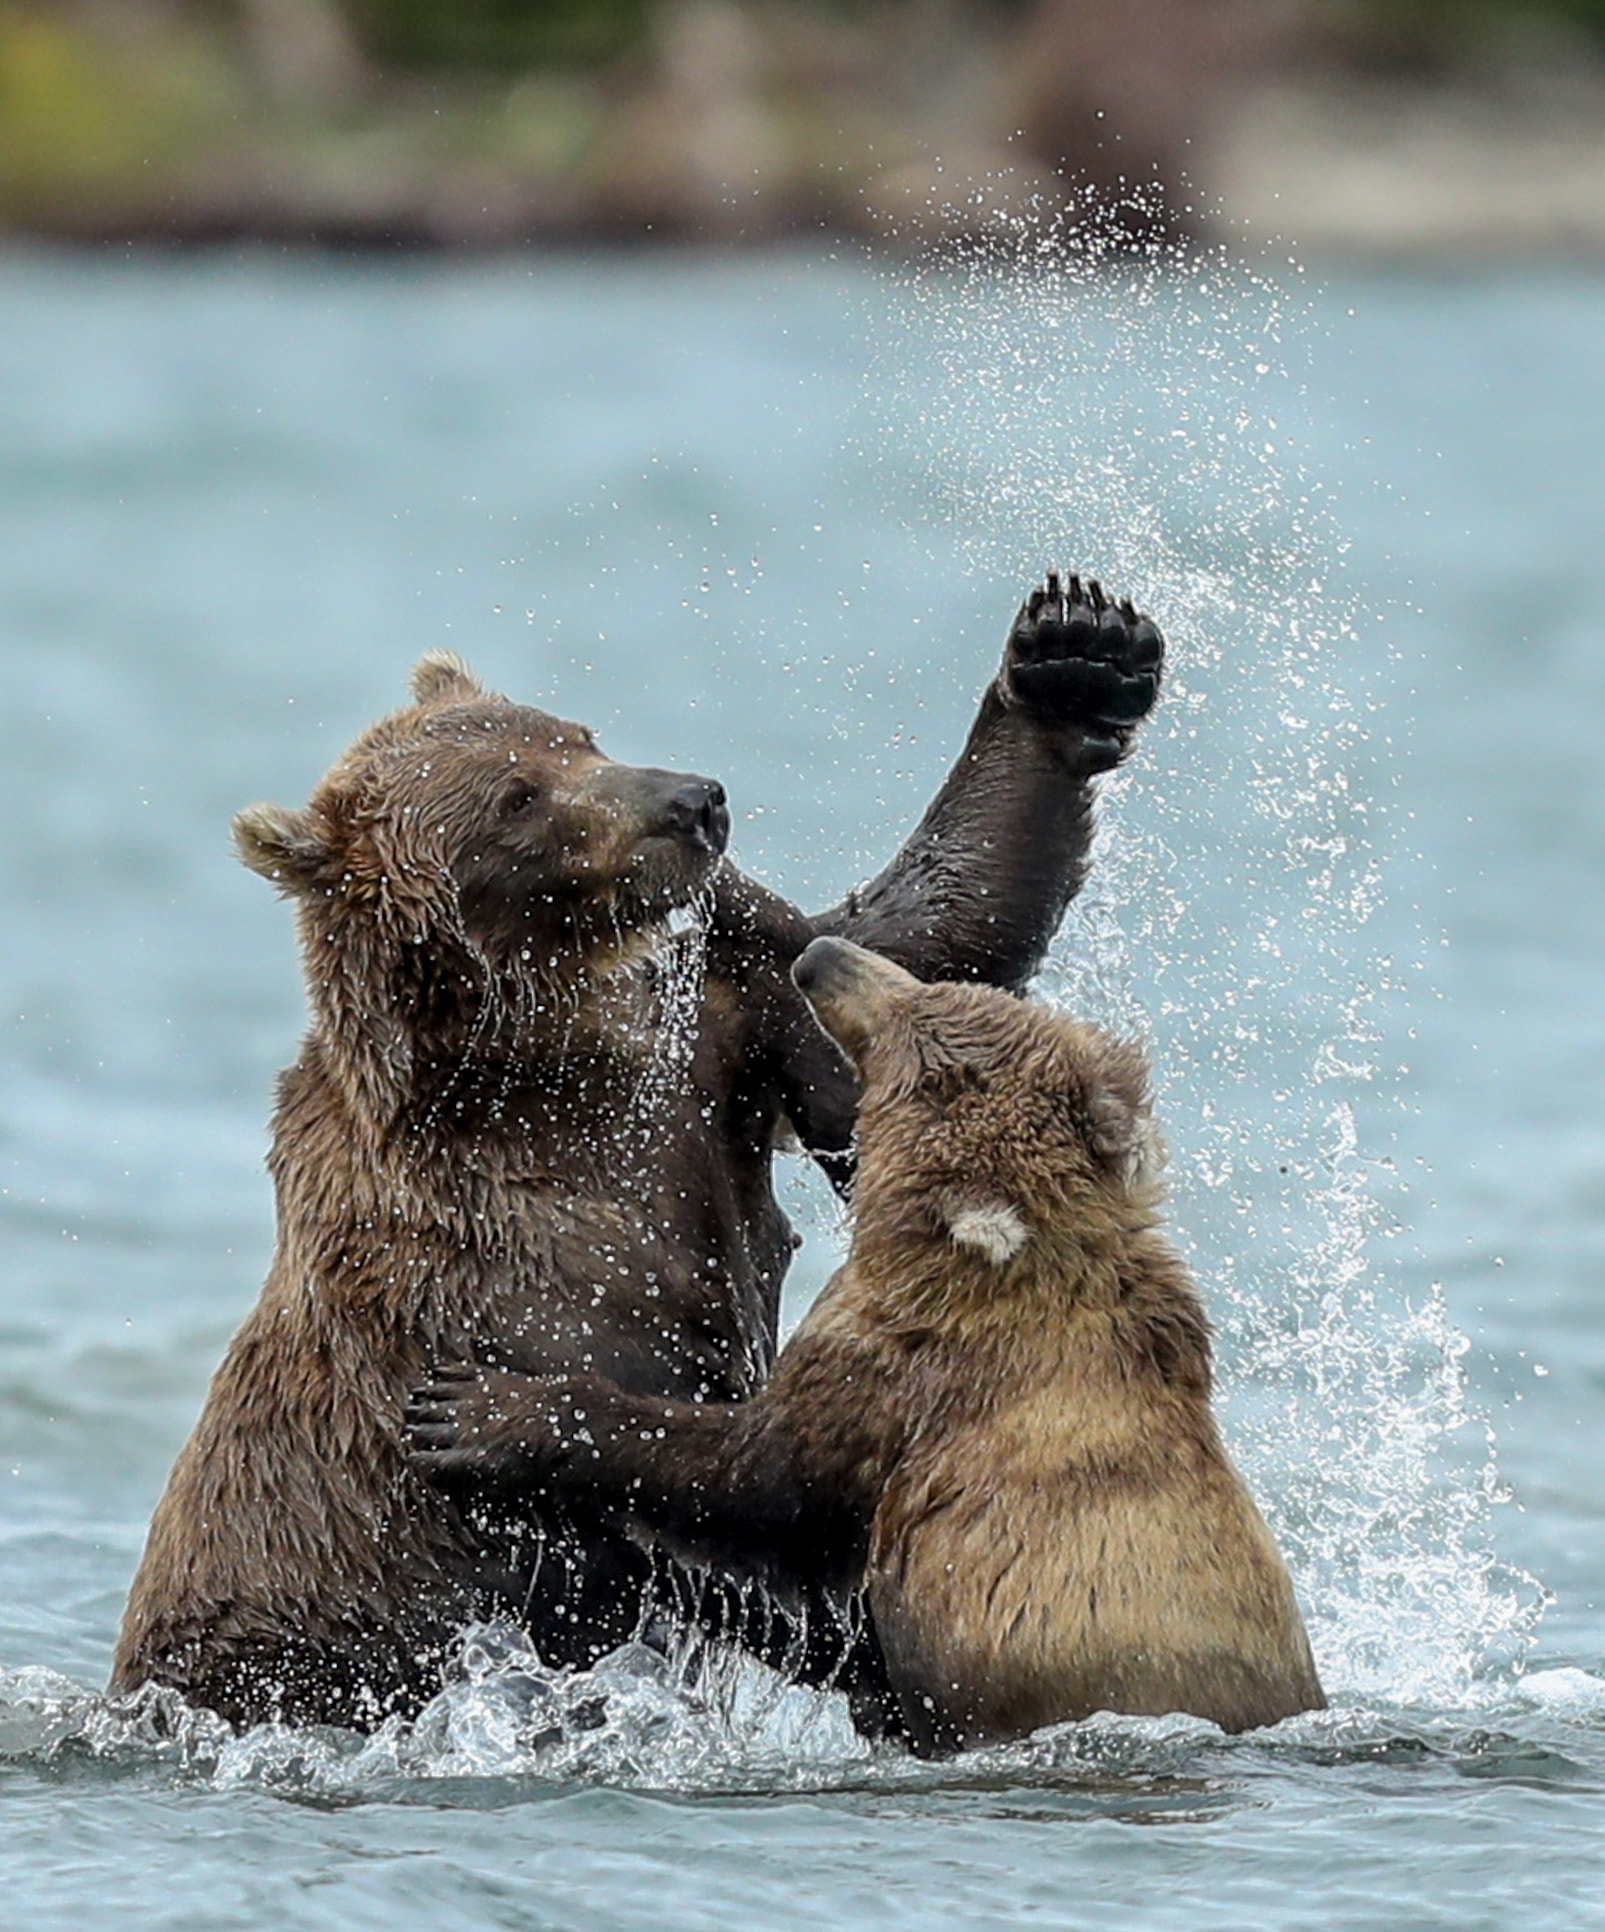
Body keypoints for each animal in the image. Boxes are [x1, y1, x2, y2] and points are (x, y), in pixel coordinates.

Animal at [115, 568, 1166, 1723]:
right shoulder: (515, 1279)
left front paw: (1072, 660)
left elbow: (906, 942)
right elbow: (684, 1514)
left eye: (578, 734)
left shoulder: (706, 1038)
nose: (693, 801)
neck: (547, 1067)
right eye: (518, 798)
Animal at [407, 942, 1321, 1761]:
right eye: (941, 989)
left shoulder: (903, 1379)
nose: (821, 955)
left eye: (905, 1033)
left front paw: (479, 1412)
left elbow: (758, 1482)